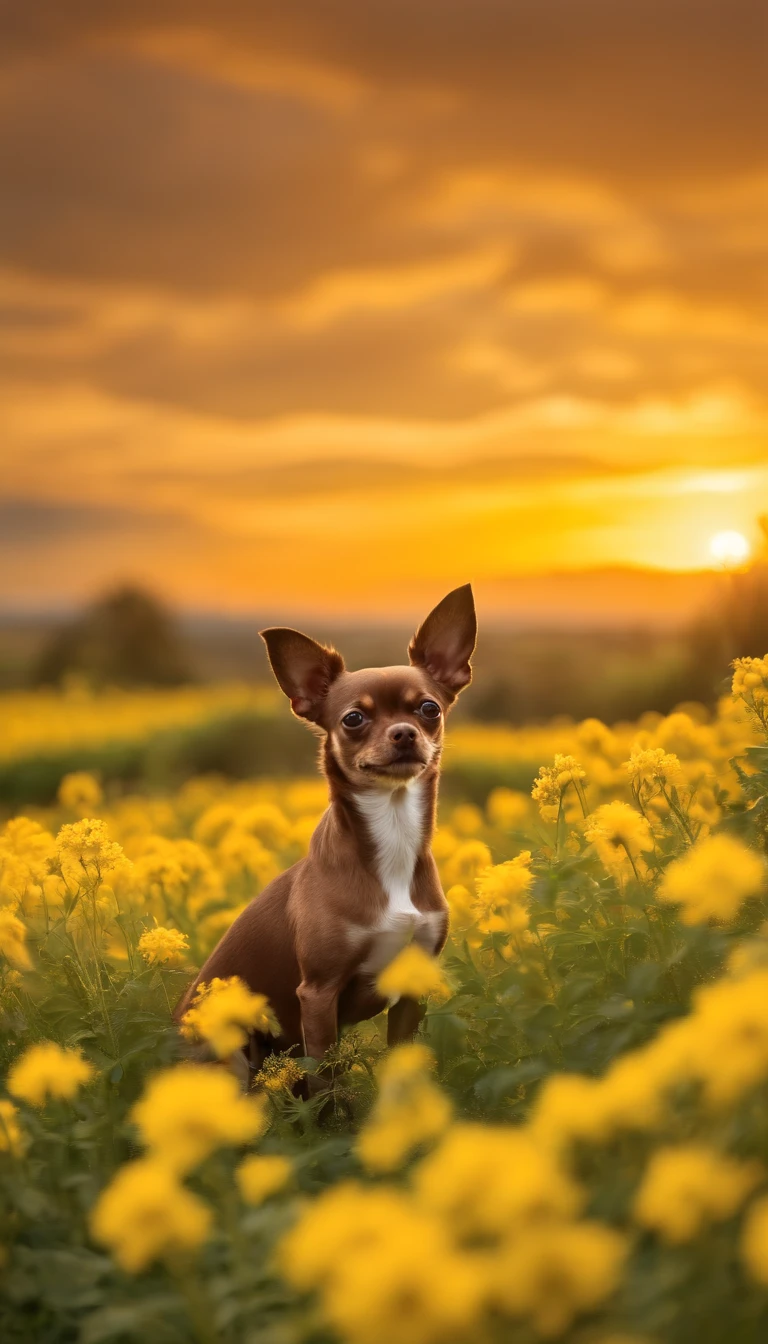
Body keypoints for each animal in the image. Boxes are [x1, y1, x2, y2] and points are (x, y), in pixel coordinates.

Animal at [176, 583, 476, 1075]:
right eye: (353, 718)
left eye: (429, 708)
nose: (404, 733)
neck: (393, 832)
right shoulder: (318, 992)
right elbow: (328, 1080)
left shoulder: (412, 988)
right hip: (230, 1050)